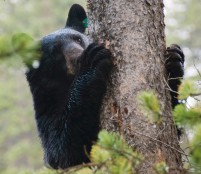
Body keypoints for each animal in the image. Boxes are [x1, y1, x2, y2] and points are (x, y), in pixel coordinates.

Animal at [24, 4, 185, 170]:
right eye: (55, 52)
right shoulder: (46, 105)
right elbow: (62, 151)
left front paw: (175, 60)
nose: (79, 57)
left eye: (78, 39)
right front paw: (91, 62)